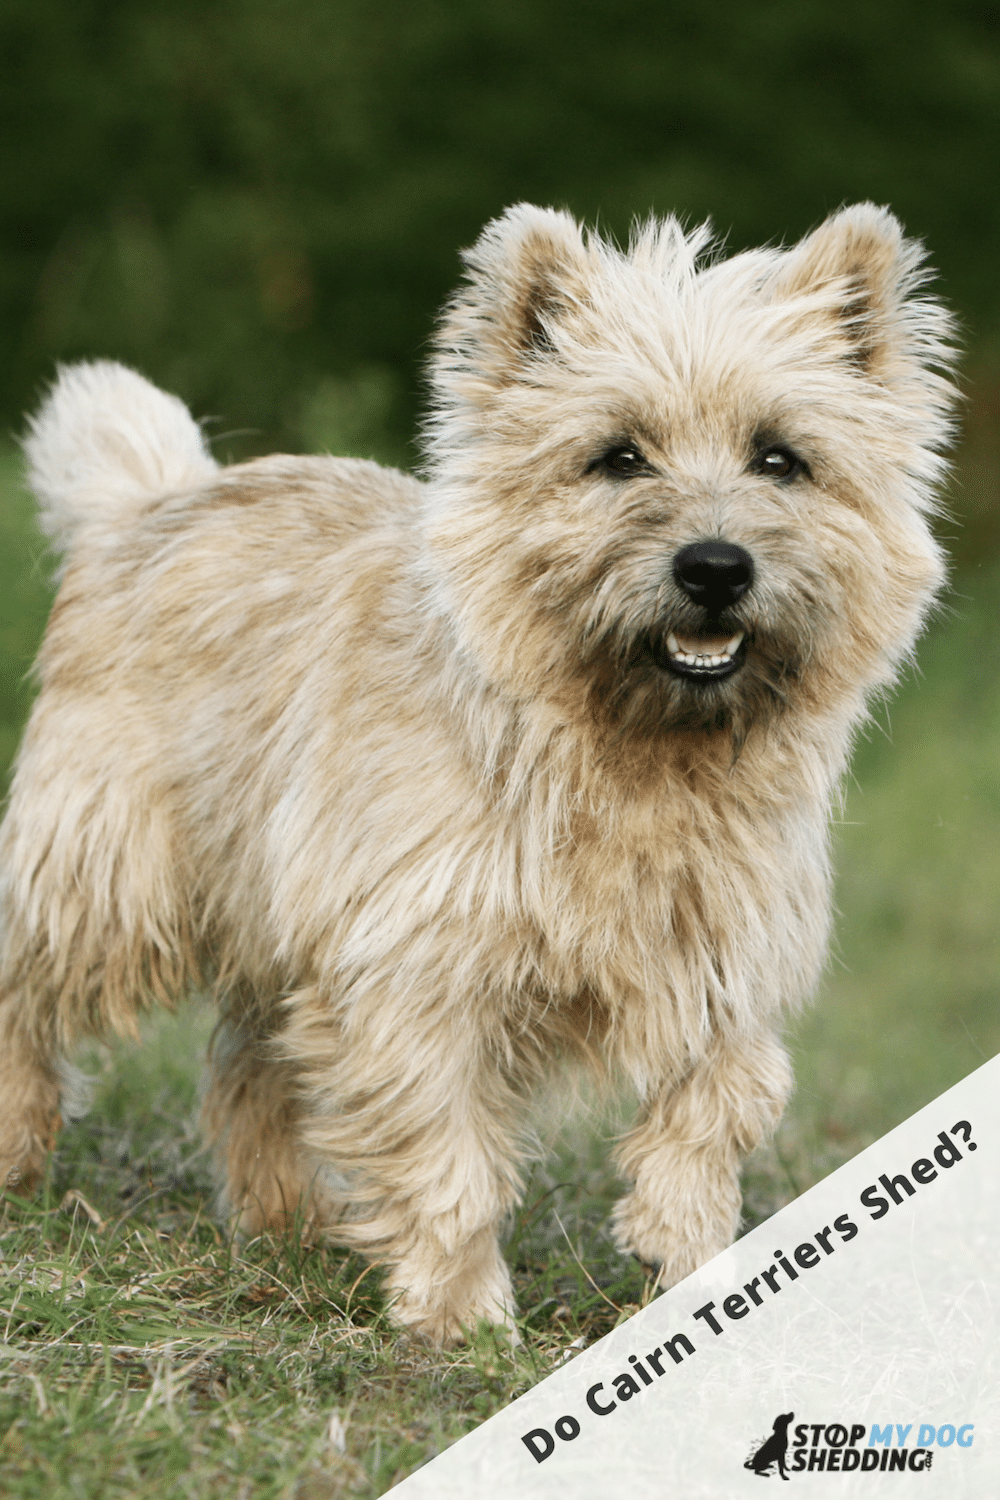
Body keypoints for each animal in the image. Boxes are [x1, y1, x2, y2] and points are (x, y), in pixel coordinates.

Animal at [0, 205, 959, 1344]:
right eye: (617, 458)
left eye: (783, 459)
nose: (716, 567)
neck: (634, 757)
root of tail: (147, 502)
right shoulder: (417, 969)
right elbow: (449, 1158)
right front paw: (464, 1319)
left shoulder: (722, 961)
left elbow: (717, 1112)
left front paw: (687, 1259)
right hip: (106, 872)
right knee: (30, 994)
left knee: (251, 1068)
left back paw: (288, 1225)